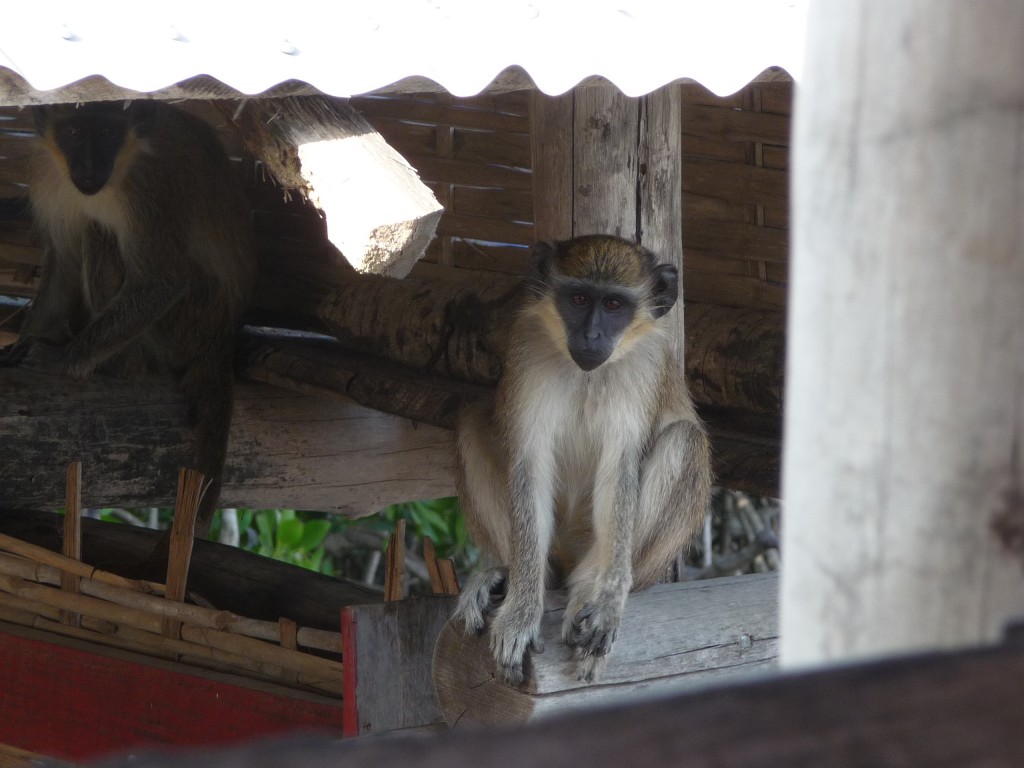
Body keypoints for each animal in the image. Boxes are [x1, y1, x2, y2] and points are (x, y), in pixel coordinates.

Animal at [0, 100, 253, 536]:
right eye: (74, 132)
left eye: (106, 132)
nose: (88, 165)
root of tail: (221, 340)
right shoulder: (52, 179)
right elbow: (65, 263)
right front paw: (24, 343)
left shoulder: (148, 188)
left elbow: (162, 280)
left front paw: (61, 359)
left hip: (185, 326)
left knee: (100, 234)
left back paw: (119, 366)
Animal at [456, 234, 712, 684]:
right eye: (577, 298)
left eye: (613, 305)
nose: (592, 335)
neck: (587, 374)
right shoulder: (527, 348)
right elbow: (530, 466)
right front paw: (522, 609)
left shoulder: (645, 364)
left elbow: (619, 471)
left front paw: (606, 603)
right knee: (471, 423)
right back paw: (510, 575)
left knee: (685, 439)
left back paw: (587, 587)